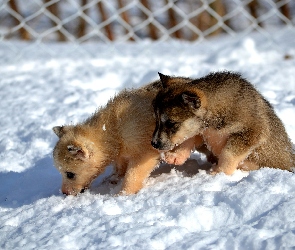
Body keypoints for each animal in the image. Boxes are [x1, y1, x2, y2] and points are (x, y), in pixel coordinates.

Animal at [53, 79, 198, 196]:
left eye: (70, 174)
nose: (65, 193)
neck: (114, 129)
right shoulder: (121, 154)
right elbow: (120, 167)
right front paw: (113, 179)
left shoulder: (144, 152)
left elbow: (133, 175)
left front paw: (123, 194)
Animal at [153, 71, 295, 175]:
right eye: (156, 119)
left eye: (171, 123)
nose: (154, 144)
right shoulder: (202, 131)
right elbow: (188, 139)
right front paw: (175, 156)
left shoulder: (251, 132)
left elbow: (228, 153)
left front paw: (219, 172)